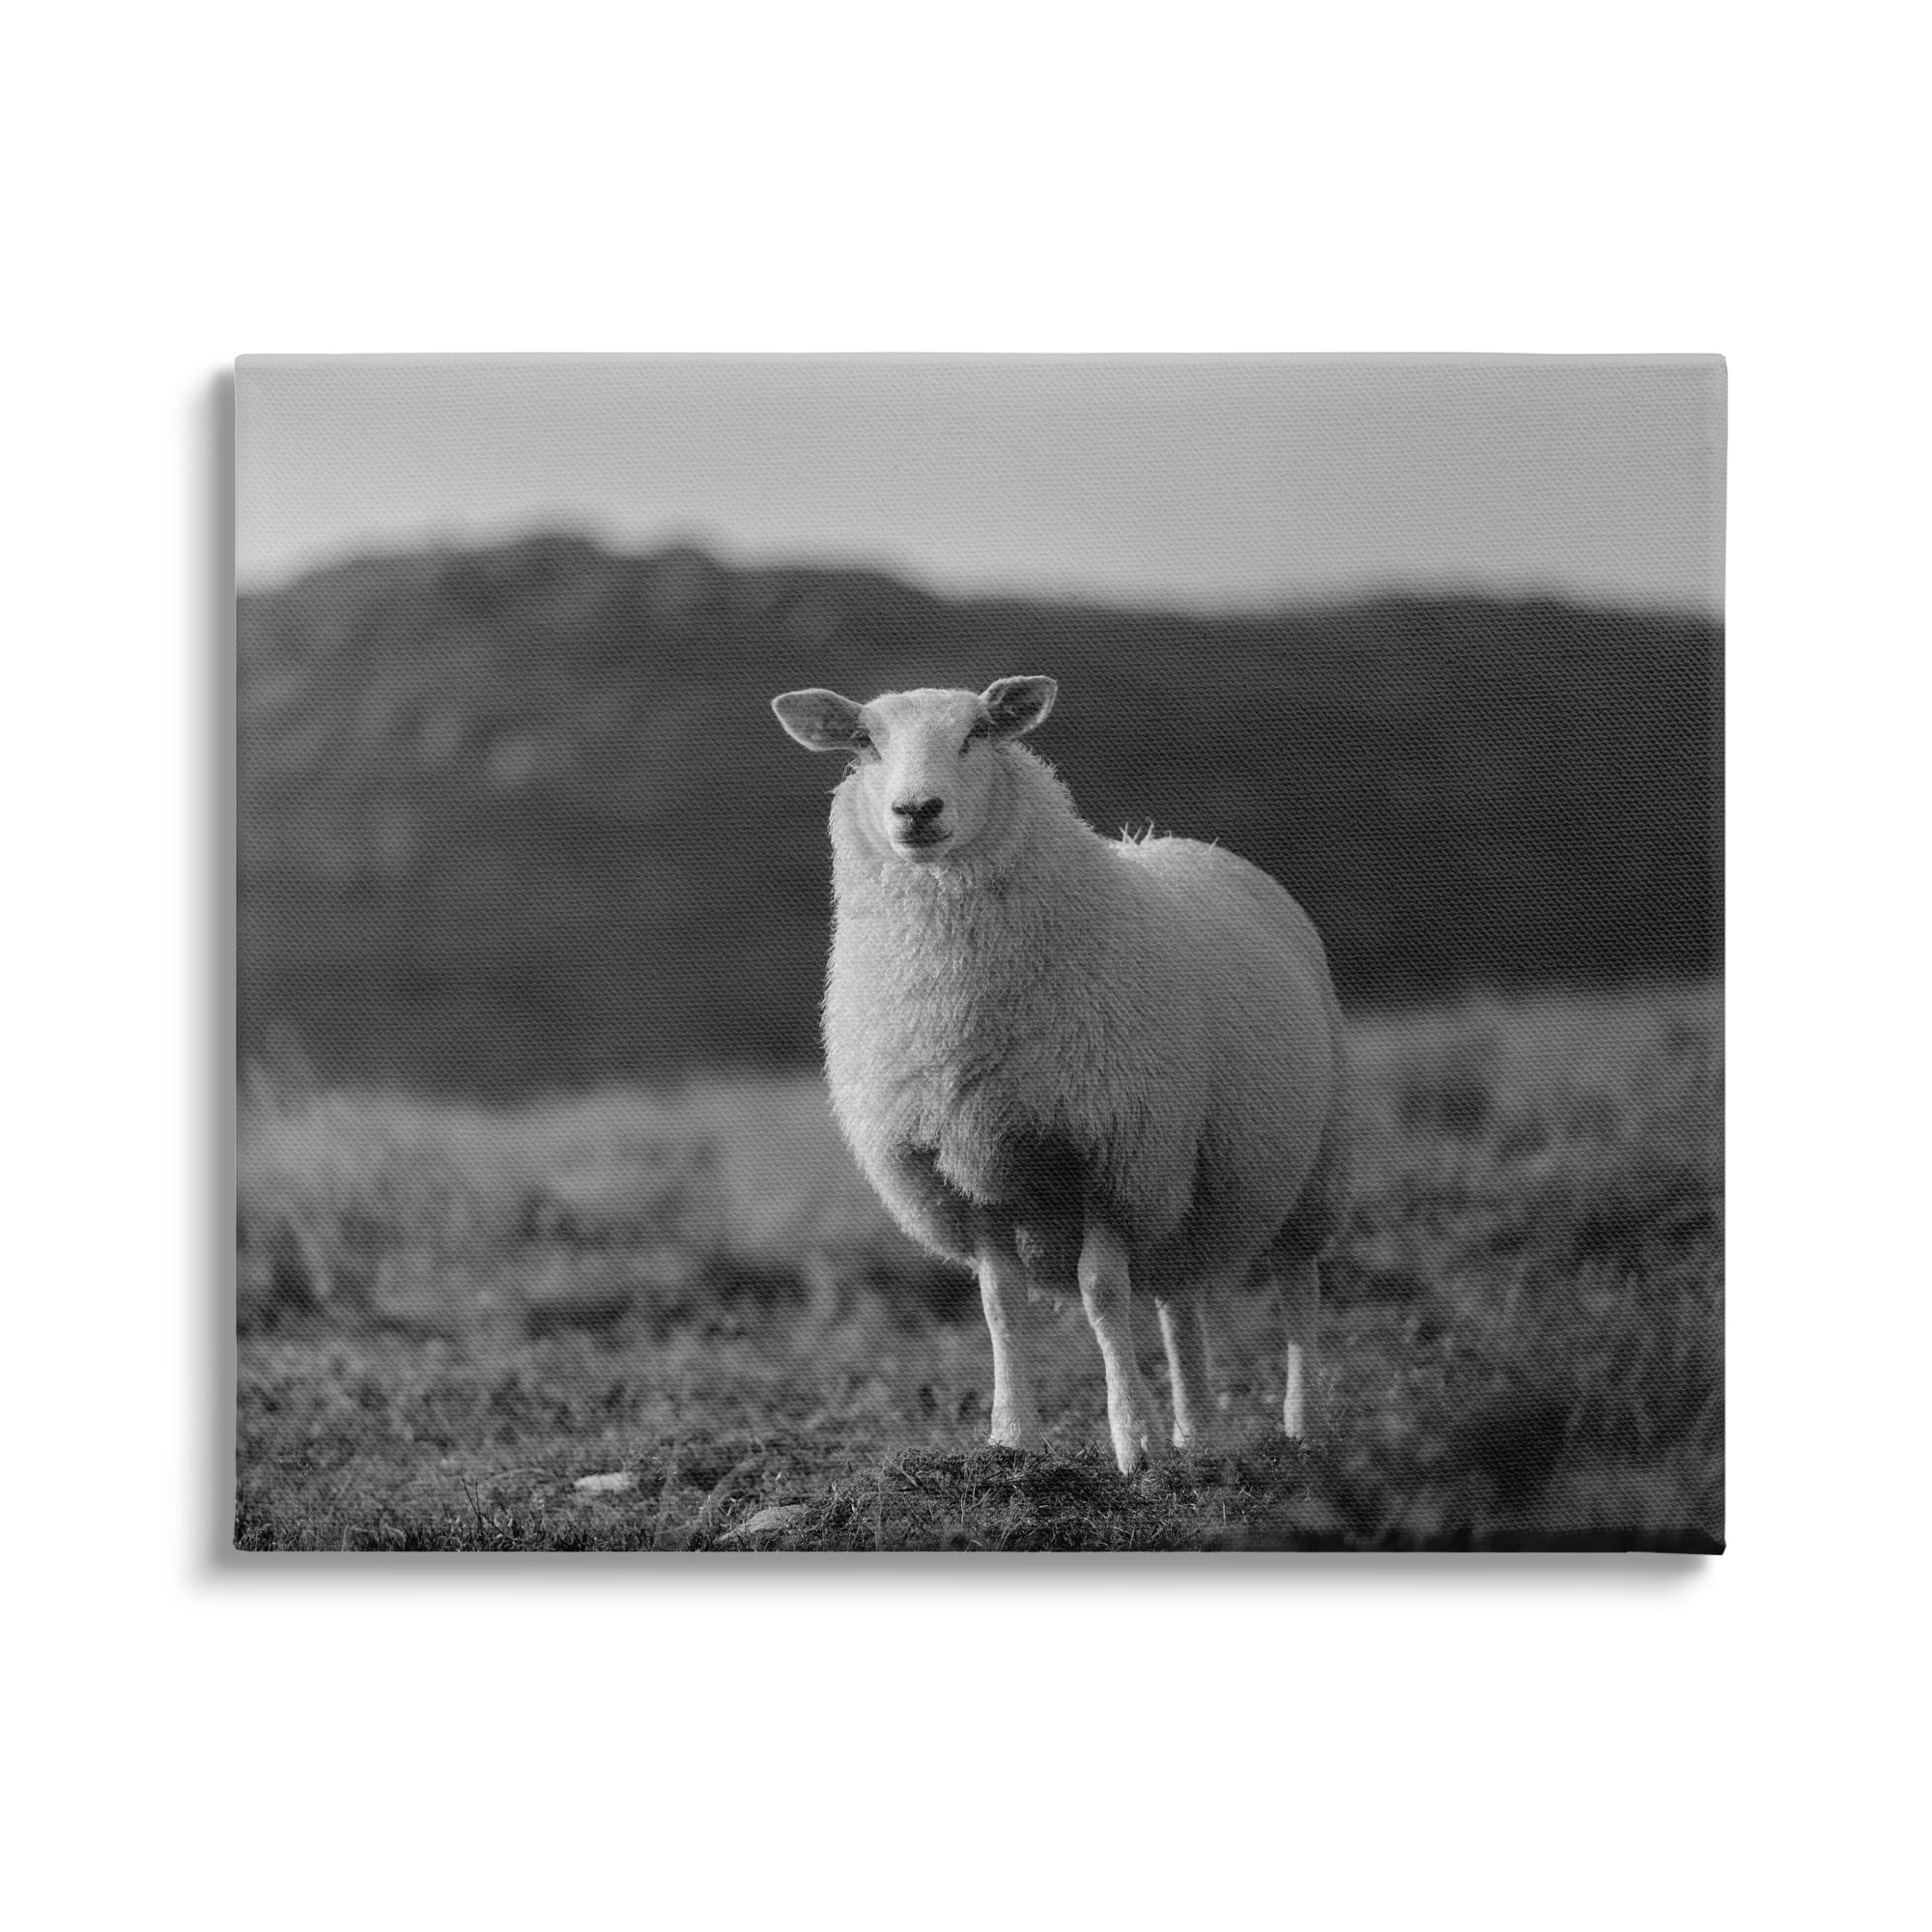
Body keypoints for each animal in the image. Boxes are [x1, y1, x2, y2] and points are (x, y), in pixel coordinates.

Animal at [770, 675, 1348, 1474]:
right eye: (863, 741)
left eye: (978, 733)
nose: (917, 810)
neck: (954, 1007)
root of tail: (1190, 845)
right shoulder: (963, 1172)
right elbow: (999, 1307)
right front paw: (1013, 1437)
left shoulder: (1109, 1155)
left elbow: (1102, 1295)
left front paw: (1131, 1441)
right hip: (1180, 1178)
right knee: (1179, 1299)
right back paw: (1196, 1432)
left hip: (1307, 1160)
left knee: (1297, 1286)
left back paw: (1303, 1424)